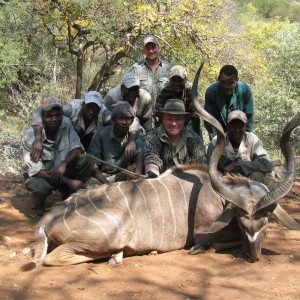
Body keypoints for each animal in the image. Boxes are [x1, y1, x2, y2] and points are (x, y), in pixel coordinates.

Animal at [26, 66, 300, 268]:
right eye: (242, 222)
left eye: (265, 221)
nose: (253, 256)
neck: (216, 195)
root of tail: (48, 219)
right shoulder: (204, 233)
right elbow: (212, 244)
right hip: (114, 235)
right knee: (52, 259)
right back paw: (118, 256)